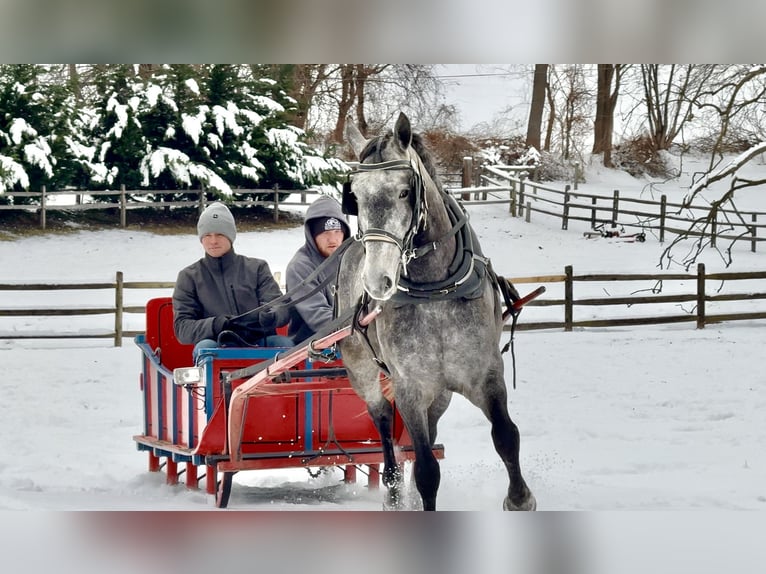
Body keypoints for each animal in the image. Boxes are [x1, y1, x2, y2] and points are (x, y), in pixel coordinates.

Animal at [336, 112, 536, 511]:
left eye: (404, 191)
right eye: (356, 197)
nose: (377, 280)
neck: (434, 291)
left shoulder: (486, 373)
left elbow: (506, 435)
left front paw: (519, 498)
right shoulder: (410, 386)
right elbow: (428, 471)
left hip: (440, 393)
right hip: (362, 371)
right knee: (384, 422)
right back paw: (393, 489)